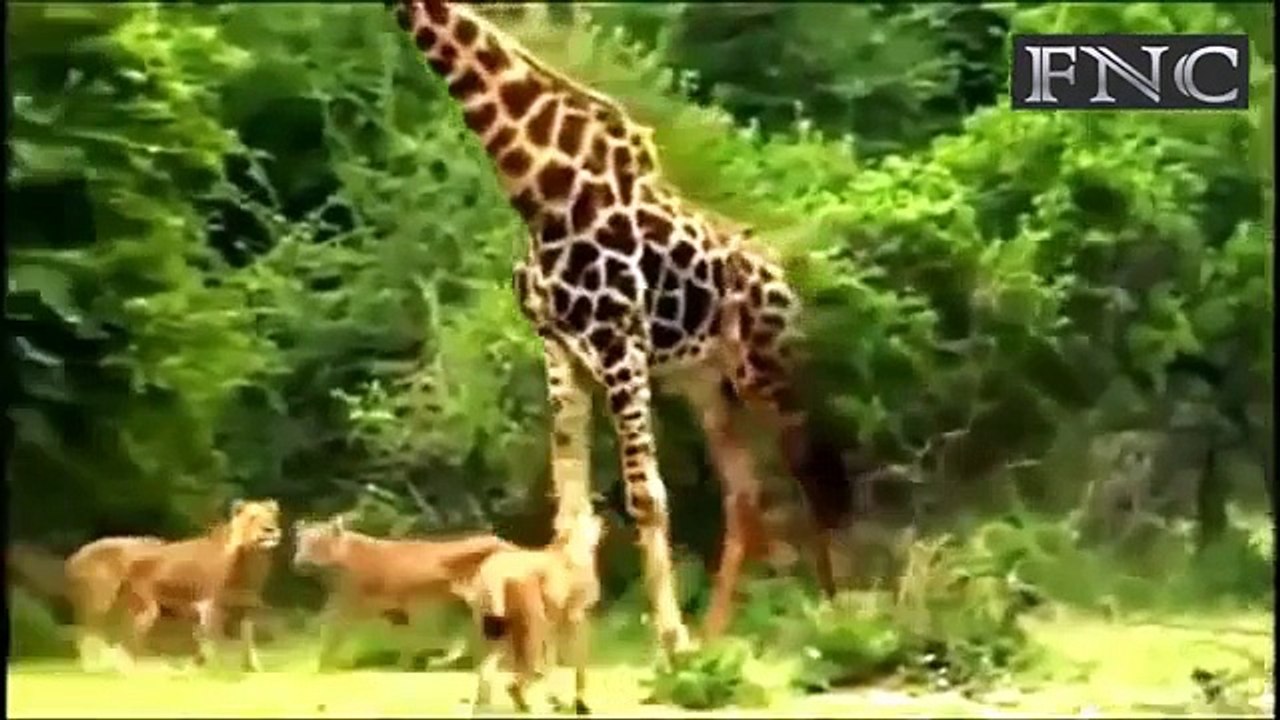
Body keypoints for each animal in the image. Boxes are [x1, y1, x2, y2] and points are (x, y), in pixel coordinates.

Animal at [116, 498, 283, 670]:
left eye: (272, 516)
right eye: (252, 517)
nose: (269, 529)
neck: (251, 560)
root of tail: (128, 564)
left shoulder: (246, 606)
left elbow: (247, 641)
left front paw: (253, 668)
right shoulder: (210, 606)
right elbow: (217, 643)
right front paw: (220, 670)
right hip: (147, 609)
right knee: (128, 641)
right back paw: (138, 668)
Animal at [291, 515, 512, 671]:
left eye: (317, 542)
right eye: (300, 542)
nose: (299, 561)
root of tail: (505, 542)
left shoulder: (348, 605)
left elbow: (332, 631)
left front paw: (323, 666)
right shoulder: (395, 612)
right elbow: (405, 640)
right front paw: (405, 665)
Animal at [468, 510, 605, 716]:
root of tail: (490, 569)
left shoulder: (555, 624)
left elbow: (551, 662)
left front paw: (557, 701)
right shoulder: (575, 618)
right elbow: (578, 664)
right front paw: (579, 704)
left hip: (495, 632)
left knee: (487, 670)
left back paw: (485, 707)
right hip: (530, 626)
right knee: (518, 678)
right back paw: (523, 704)